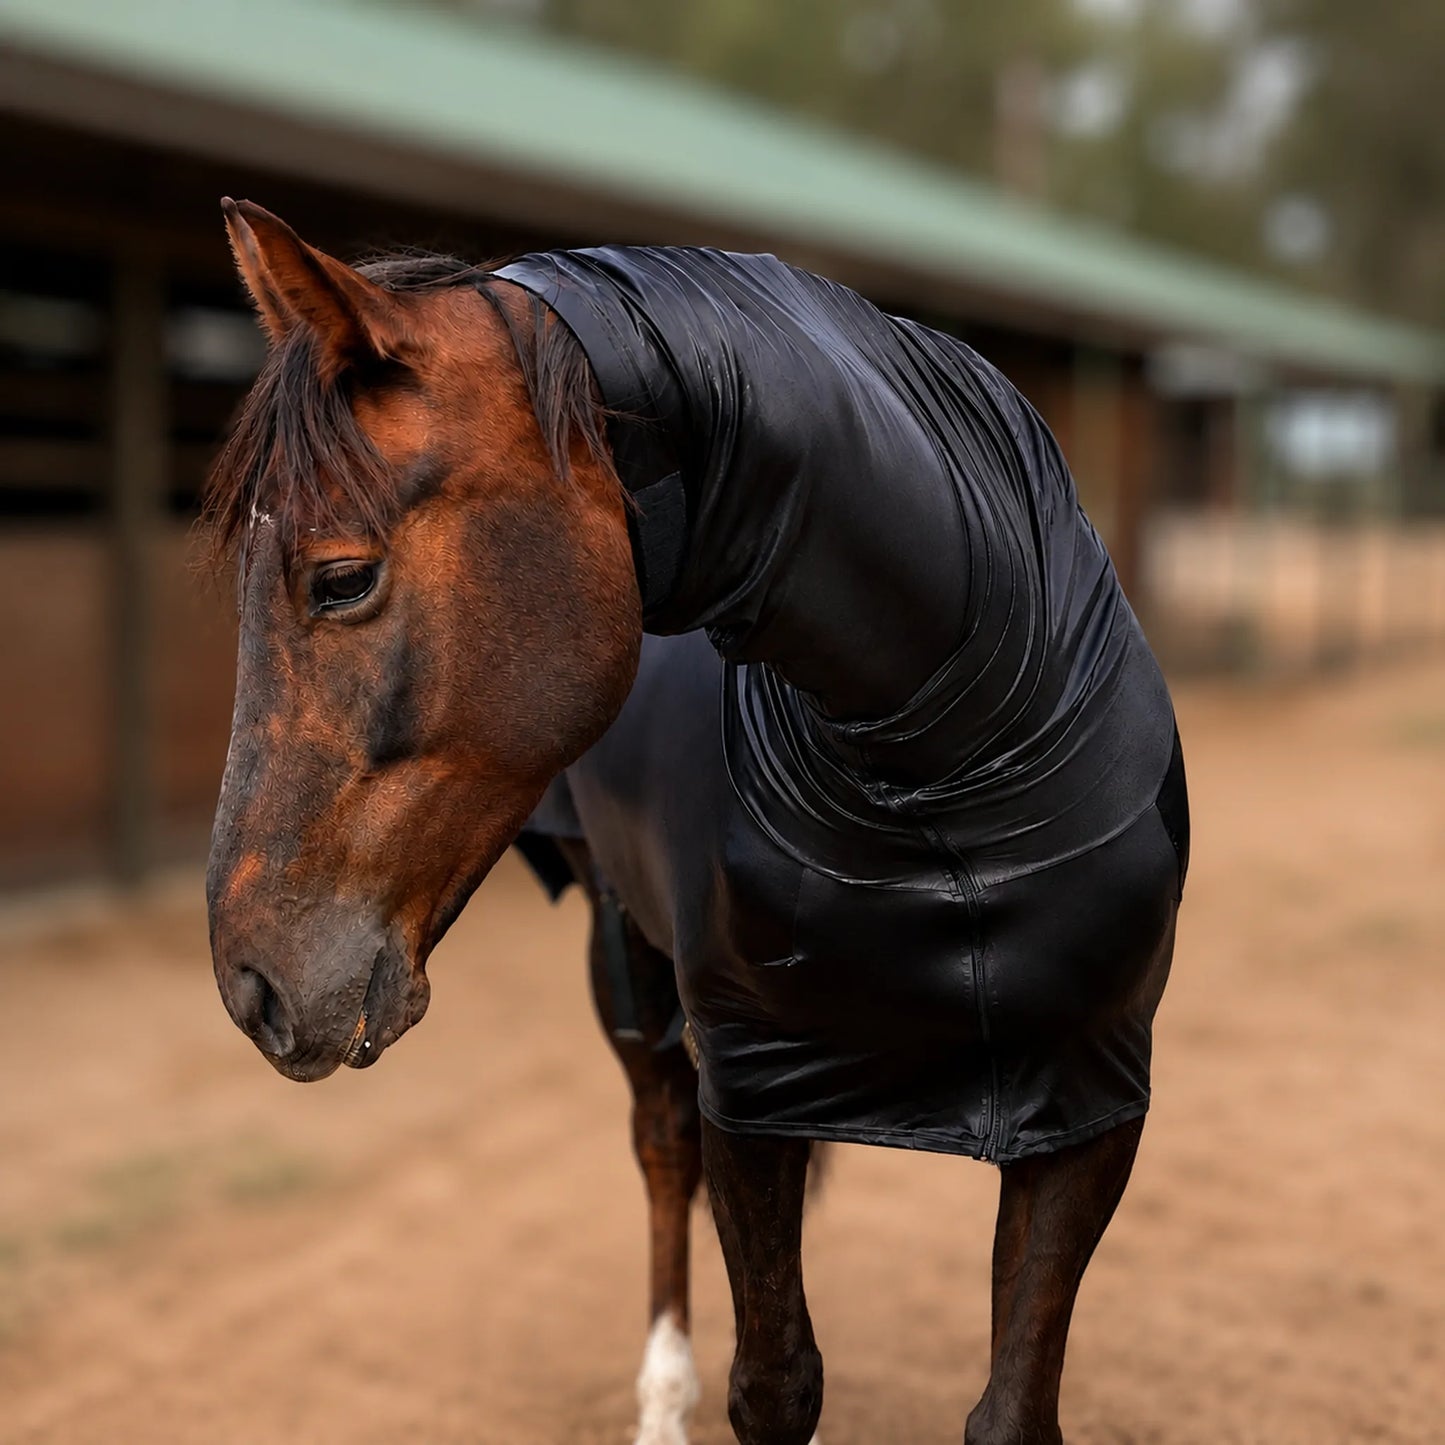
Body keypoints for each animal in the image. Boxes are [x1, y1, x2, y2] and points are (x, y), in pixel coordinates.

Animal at [205, 199, 1188, 1445]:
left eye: (338, 577)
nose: (251, 983)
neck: (942, 788)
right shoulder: (749, 1082)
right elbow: (771, 1381)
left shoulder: (1087, 1096)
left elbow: (1011, 1405)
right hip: (629, 965)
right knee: (660, 1152)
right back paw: (659, 1398)